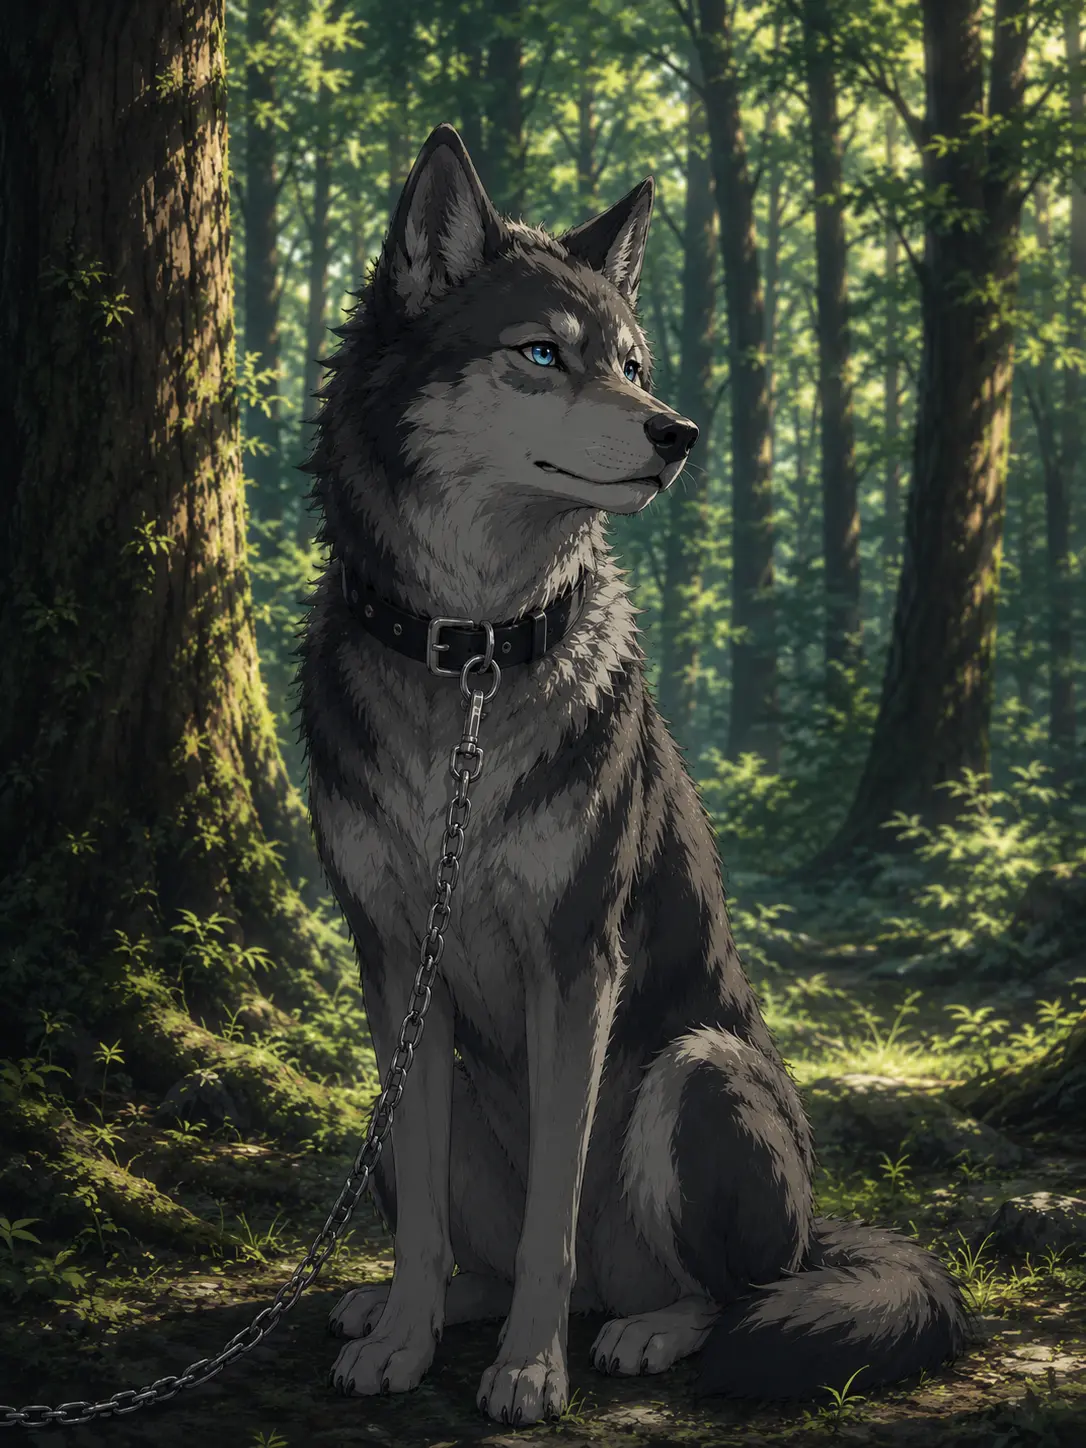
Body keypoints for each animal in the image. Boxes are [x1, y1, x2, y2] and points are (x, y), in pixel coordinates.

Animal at [298, 123, 967, 1427]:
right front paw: (403, 1336)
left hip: (697, 1068)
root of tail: (821, 1229)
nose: (680, 431)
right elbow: (427, 1221)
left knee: (726, 1289)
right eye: (541, 353)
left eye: (634, 362)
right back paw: (408, 1306)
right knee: (459, 1232)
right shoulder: (393, 958)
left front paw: (528, 1369)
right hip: (411, 1088)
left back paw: (643, 1328)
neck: (471, 655)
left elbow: (556, 1214)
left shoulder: (577, 959)